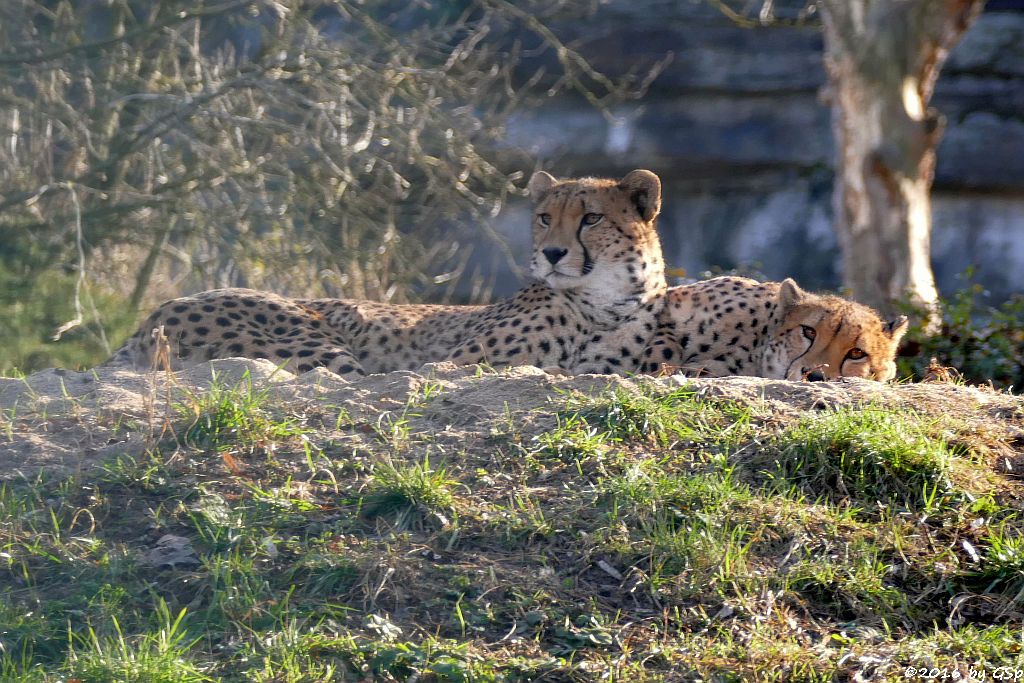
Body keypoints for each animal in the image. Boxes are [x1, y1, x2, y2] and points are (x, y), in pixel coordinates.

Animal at [103, 168, 663, 376]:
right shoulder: (455, 362)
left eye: (591, 218)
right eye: (546, 217)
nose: (550, 254)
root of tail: (149, 317)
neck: (606, 299)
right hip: (317, 346)